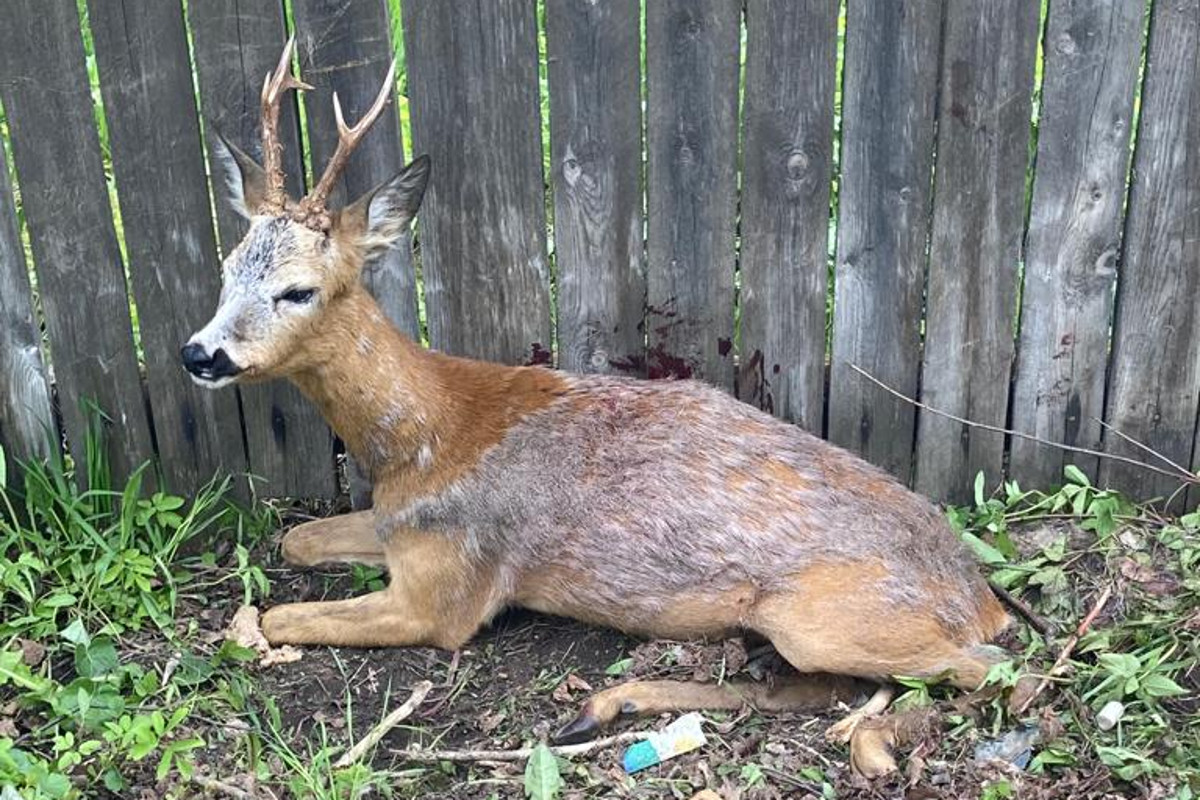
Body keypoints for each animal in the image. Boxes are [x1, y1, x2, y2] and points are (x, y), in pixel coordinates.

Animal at [184, 37, 1032, 777]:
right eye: (226, 267)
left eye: (298, 290)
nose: (200, 354)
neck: (421, 439)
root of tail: (978, 597)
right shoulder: (403, 531)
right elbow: (295, 540)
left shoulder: (449, 592)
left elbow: (279, 618)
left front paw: (254, 633)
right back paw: (606, 705)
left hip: (828, 616)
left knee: (1001, 676)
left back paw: (871, 742)